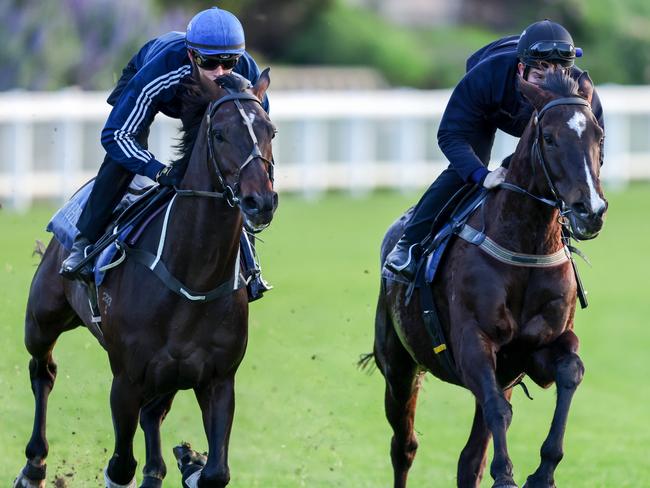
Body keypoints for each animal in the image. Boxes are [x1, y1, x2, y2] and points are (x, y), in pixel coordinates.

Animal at [15, 69, 278, 488]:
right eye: (220, 133)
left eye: (270, 130)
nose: (260, 202)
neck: (194, 277)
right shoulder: (126, 379)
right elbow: (121, 465)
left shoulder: (218, 379)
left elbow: (216, 472)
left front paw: (191, 460)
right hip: (42, 319)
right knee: (43, 371)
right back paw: (33, 466)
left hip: (168, 376)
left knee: (152, 416)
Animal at [372, 71, 604, 488]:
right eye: (549, 138)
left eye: (599, 135)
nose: (590, 210)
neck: (526, 244)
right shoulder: (472, 343)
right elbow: (499, 409)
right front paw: (507, 475)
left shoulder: (537, 349)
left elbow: (570, 372)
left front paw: (543, 472)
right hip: (397, 365)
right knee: (404, 445)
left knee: (468, 460)